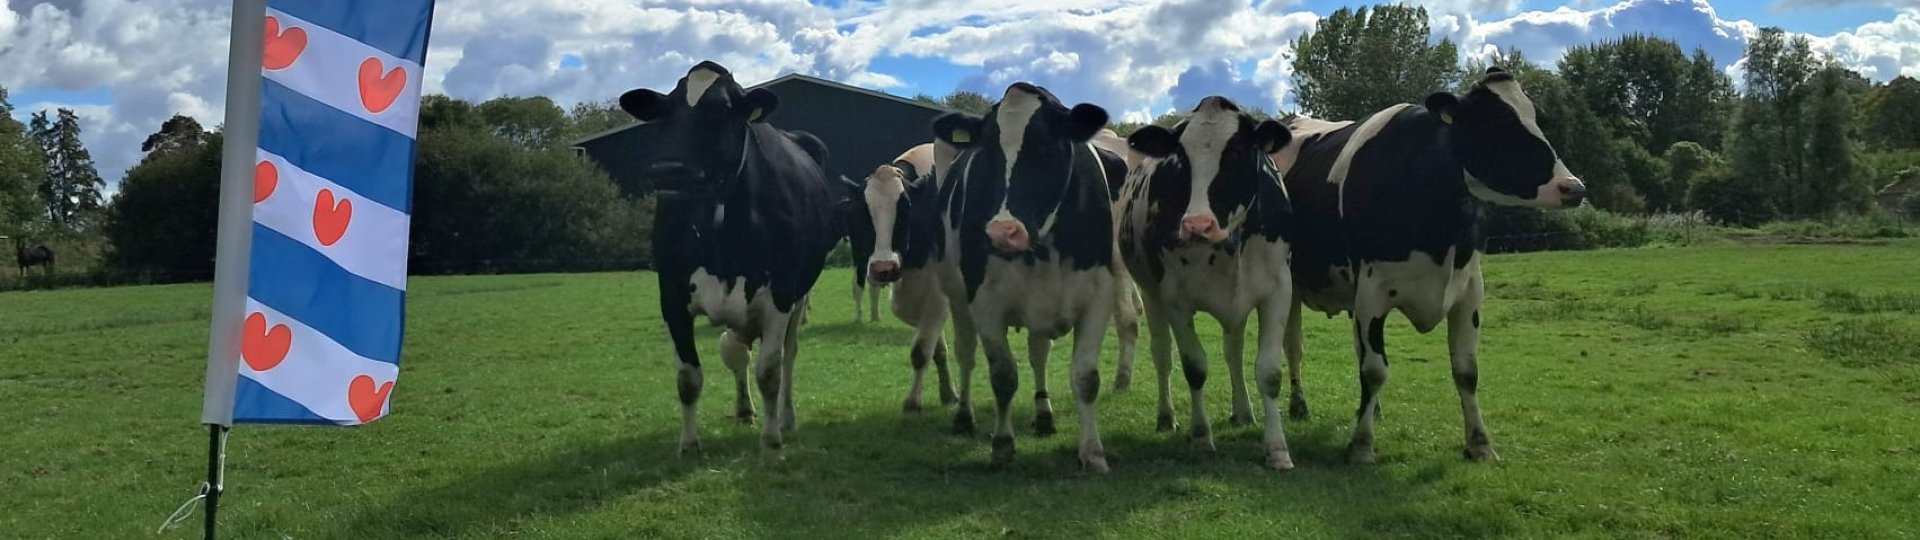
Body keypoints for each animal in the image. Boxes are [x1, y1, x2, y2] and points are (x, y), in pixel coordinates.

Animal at [617, 61, 842, 459]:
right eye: (664, 111)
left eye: (722, 109)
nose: (671, 170)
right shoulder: (671, 295)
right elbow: (688, 377)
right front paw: (689, 445)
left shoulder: (780, 294)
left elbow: (770, 372)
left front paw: (771, 443)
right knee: (736, 351)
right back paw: (743, 409)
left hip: (799, 297)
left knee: (788, 356)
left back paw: (785, 419)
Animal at [930, 82, 1130, 472]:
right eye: (988, 151)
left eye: (1044, 147)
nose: (1002, 232)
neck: (1043, 248)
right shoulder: (984, 300)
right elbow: (1003, 376)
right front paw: (1002, 445)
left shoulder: (1099, 294)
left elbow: (1086, 377)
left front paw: (1093, 452)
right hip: (956, 296)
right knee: (966, 353)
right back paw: (963, 416)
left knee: (1039, 354)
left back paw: (1044, 414)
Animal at [1116, 96, 1300, 470]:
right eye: (1180, 158)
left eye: (1239, 151)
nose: (1197, 225)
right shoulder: (1175, 299)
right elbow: (1195, 367)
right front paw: (1201, 438)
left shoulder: (1277, 291)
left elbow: (1269, 372)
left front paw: (1277, 448)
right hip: (1150, 293)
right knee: (1162, 353)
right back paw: (1166, 416)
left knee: (1233, 351)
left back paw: (1243, 412)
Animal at [1277, 66, 1588, 464]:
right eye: (1499, 122)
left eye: (1537, 118)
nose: (1574, 188)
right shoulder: (1373, 294)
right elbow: (1374, 371)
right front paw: (1362, 445)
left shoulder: (1468, 291)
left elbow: (1466, 371)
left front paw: (1480, 443)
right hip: (1292, 286)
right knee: (1294, 347)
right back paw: (1300, 406)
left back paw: (1370, 410)